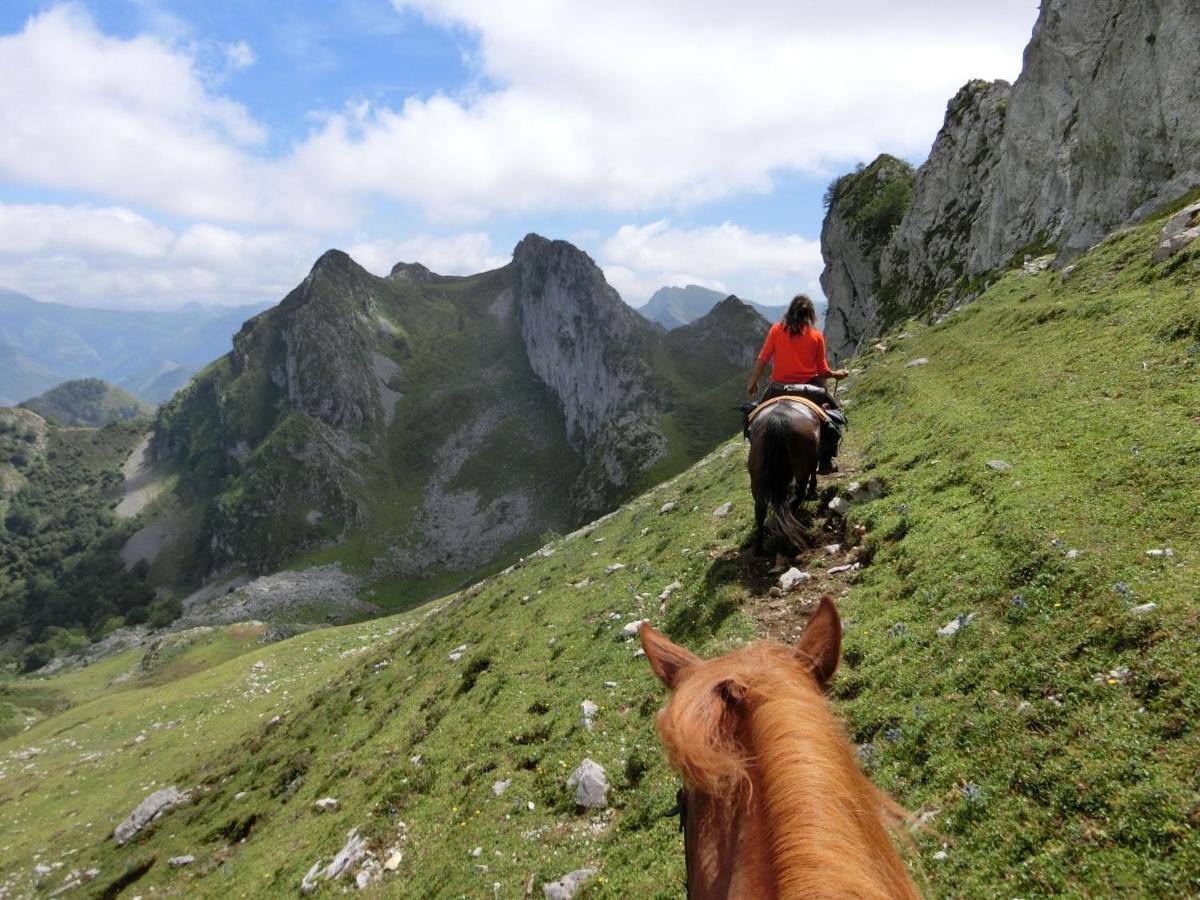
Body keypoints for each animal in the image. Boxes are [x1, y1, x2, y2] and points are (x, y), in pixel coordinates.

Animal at [744, 400, 820, 556]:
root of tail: (778, 419)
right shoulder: (813, 460)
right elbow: (814, 472)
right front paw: (813, 491)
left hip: (756, 477)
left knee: (760, 508)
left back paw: (759, 548)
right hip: (801, 472)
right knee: (794, 501)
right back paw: (788, 543)